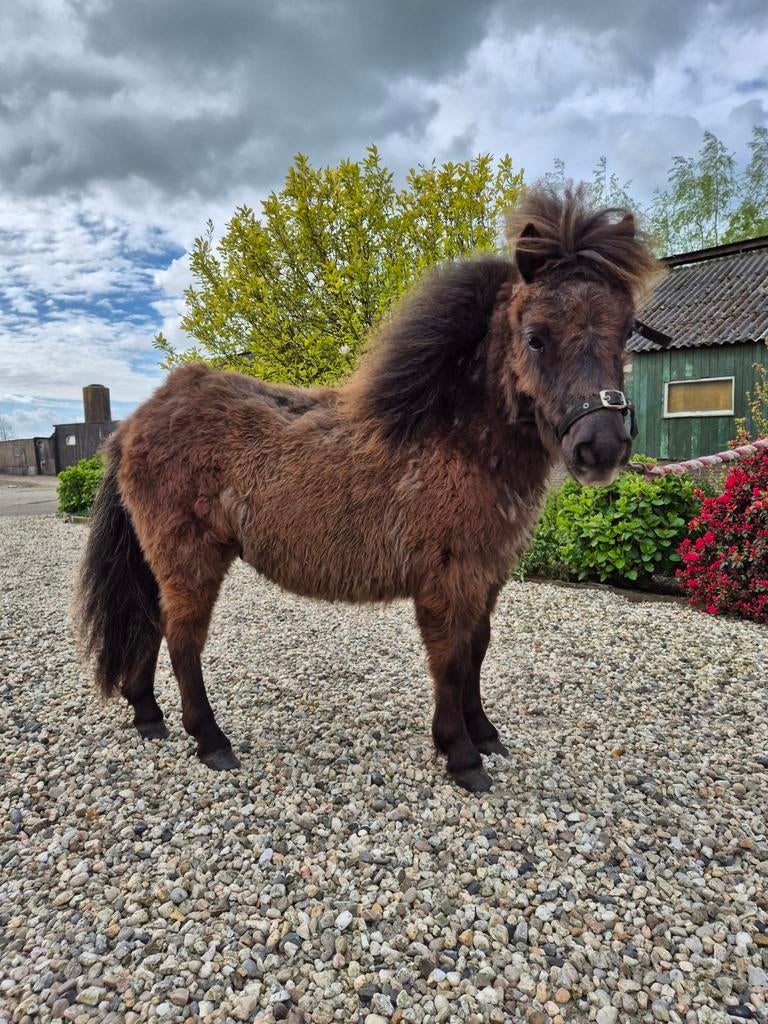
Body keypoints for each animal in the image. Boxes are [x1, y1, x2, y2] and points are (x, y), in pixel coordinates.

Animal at [76, 185, 661, 792]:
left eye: (625, 330)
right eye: (536, 337)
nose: (602, 446)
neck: (453, 438)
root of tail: (135, 422)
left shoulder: (487, 576)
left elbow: (477, 649)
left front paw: (483, 734)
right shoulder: (448, 580)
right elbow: (451, 660)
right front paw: (461, 754)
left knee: (149, 623)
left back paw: (148, 715)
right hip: (189, 556)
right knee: (182, 638)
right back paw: (211, 741)